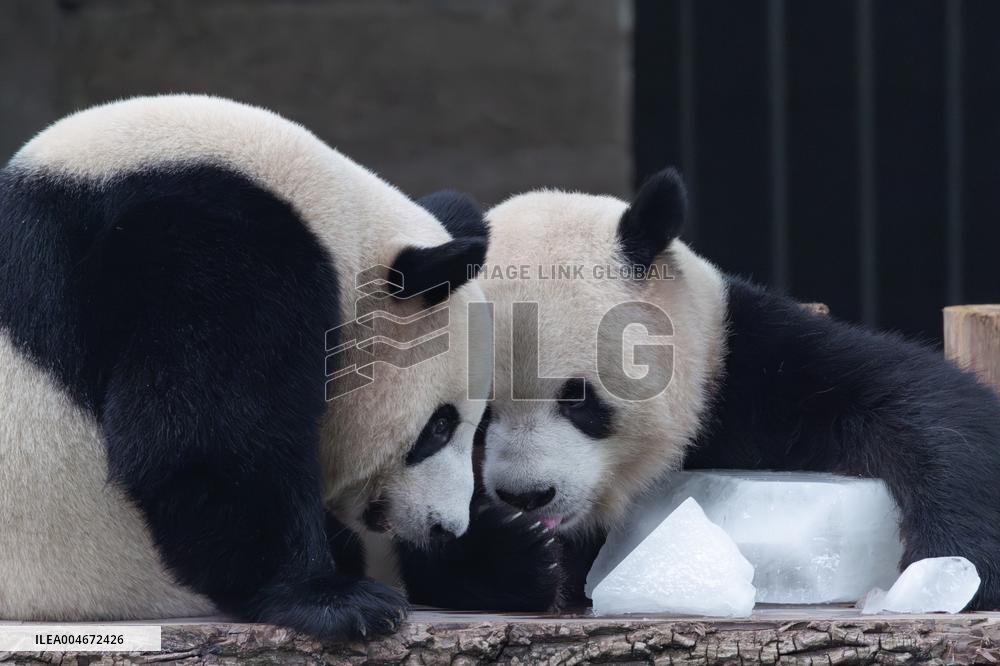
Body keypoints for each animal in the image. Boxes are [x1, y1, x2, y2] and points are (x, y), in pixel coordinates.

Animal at [409, 168, 1000, 611]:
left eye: (578, 400)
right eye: (477, 417)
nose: (528, 496)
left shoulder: (749, 367)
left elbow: (919, 406)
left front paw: (949, 570)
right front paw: (522, 551)